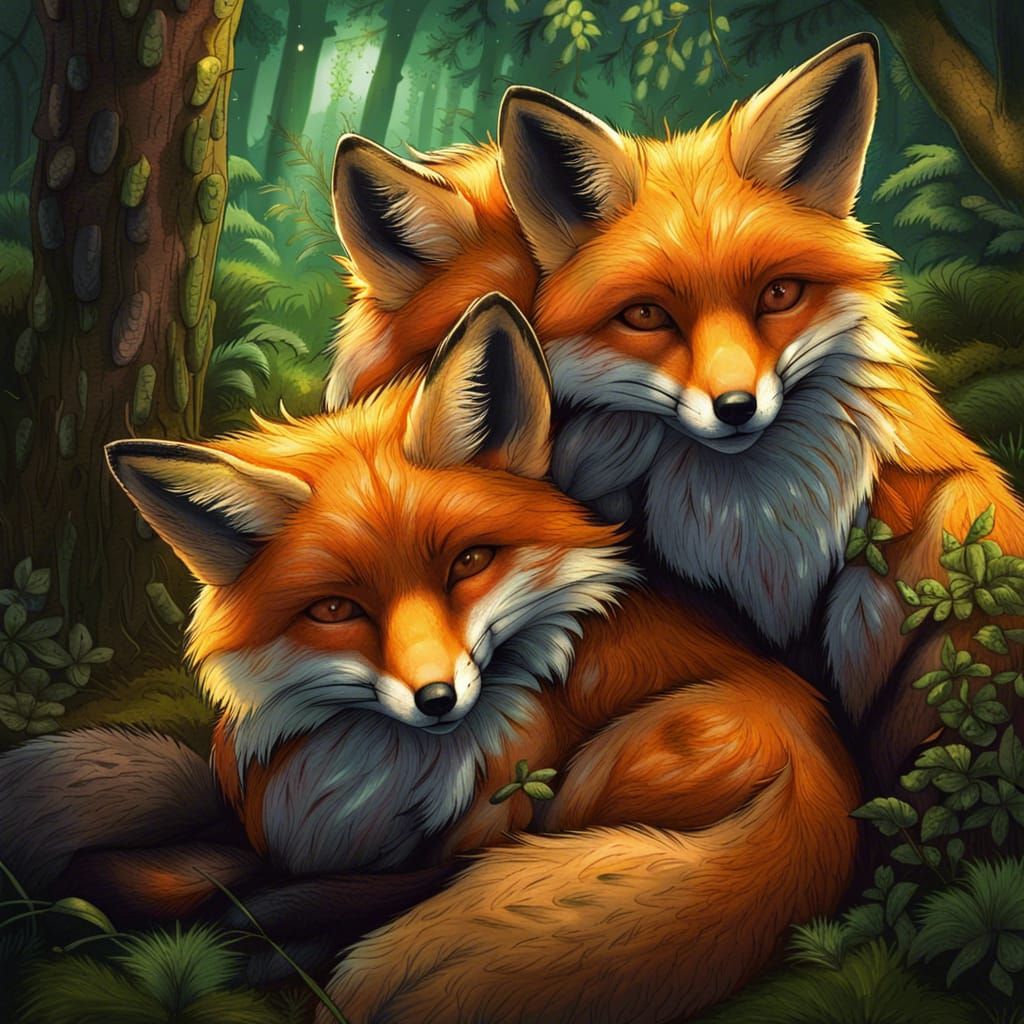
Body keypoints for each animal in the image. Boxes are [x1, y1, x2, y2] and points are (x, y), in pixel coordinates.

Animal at [0, 294, 857, 1021]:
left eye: (468, 563)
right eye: (336, 610)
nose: (437, 697)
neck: (375, 783)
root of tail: (827, 792)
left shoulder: (481, 828)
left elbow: (257, 888)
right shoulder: (256, 807)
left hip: (605, 765)